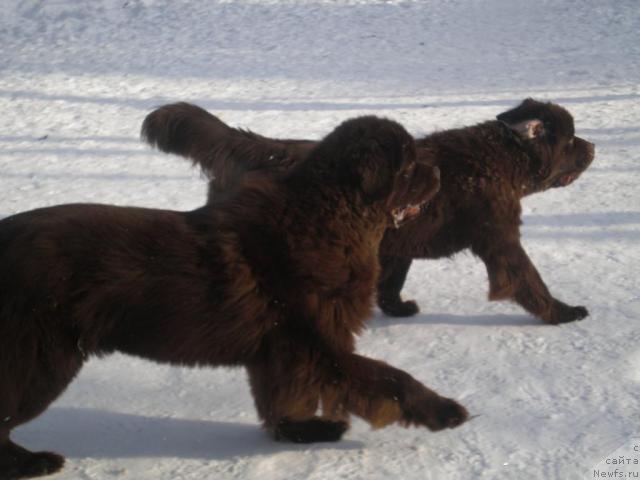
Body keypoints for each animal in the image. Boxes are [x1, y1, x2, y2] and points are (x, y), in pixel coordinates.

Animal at [0, 114, 464, 478]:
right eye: (409, 164)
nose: (440, 174)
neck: (331, 221)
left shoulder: (282, 350)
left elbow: (280, 399)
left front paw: (300, 431)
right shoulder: (318, 342)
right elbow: (390, 378)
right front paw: (443, 411)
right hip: (40, 360)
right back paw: (33, 463)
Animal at [144, 99, 596, 324]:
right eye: (571, 139)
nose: (593, 146)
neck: (499, 159)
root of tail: (257, 147)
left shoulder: (398, 243)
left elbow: (391, 283)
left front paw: (397, 310)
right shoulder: (501, 240)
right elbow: (528, 280)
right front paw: (562, 313)